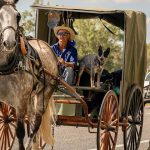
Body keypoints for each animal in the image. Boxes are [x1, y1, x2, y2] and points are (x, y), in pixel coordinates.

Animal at [0, 0, 58, 149]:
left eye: (18, 16)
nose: (9, 43)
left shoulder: (20, 103)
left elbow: (20, 133)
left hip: (44, 95)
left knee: (35, 126)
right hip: (30, 98)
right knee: (31, 123)